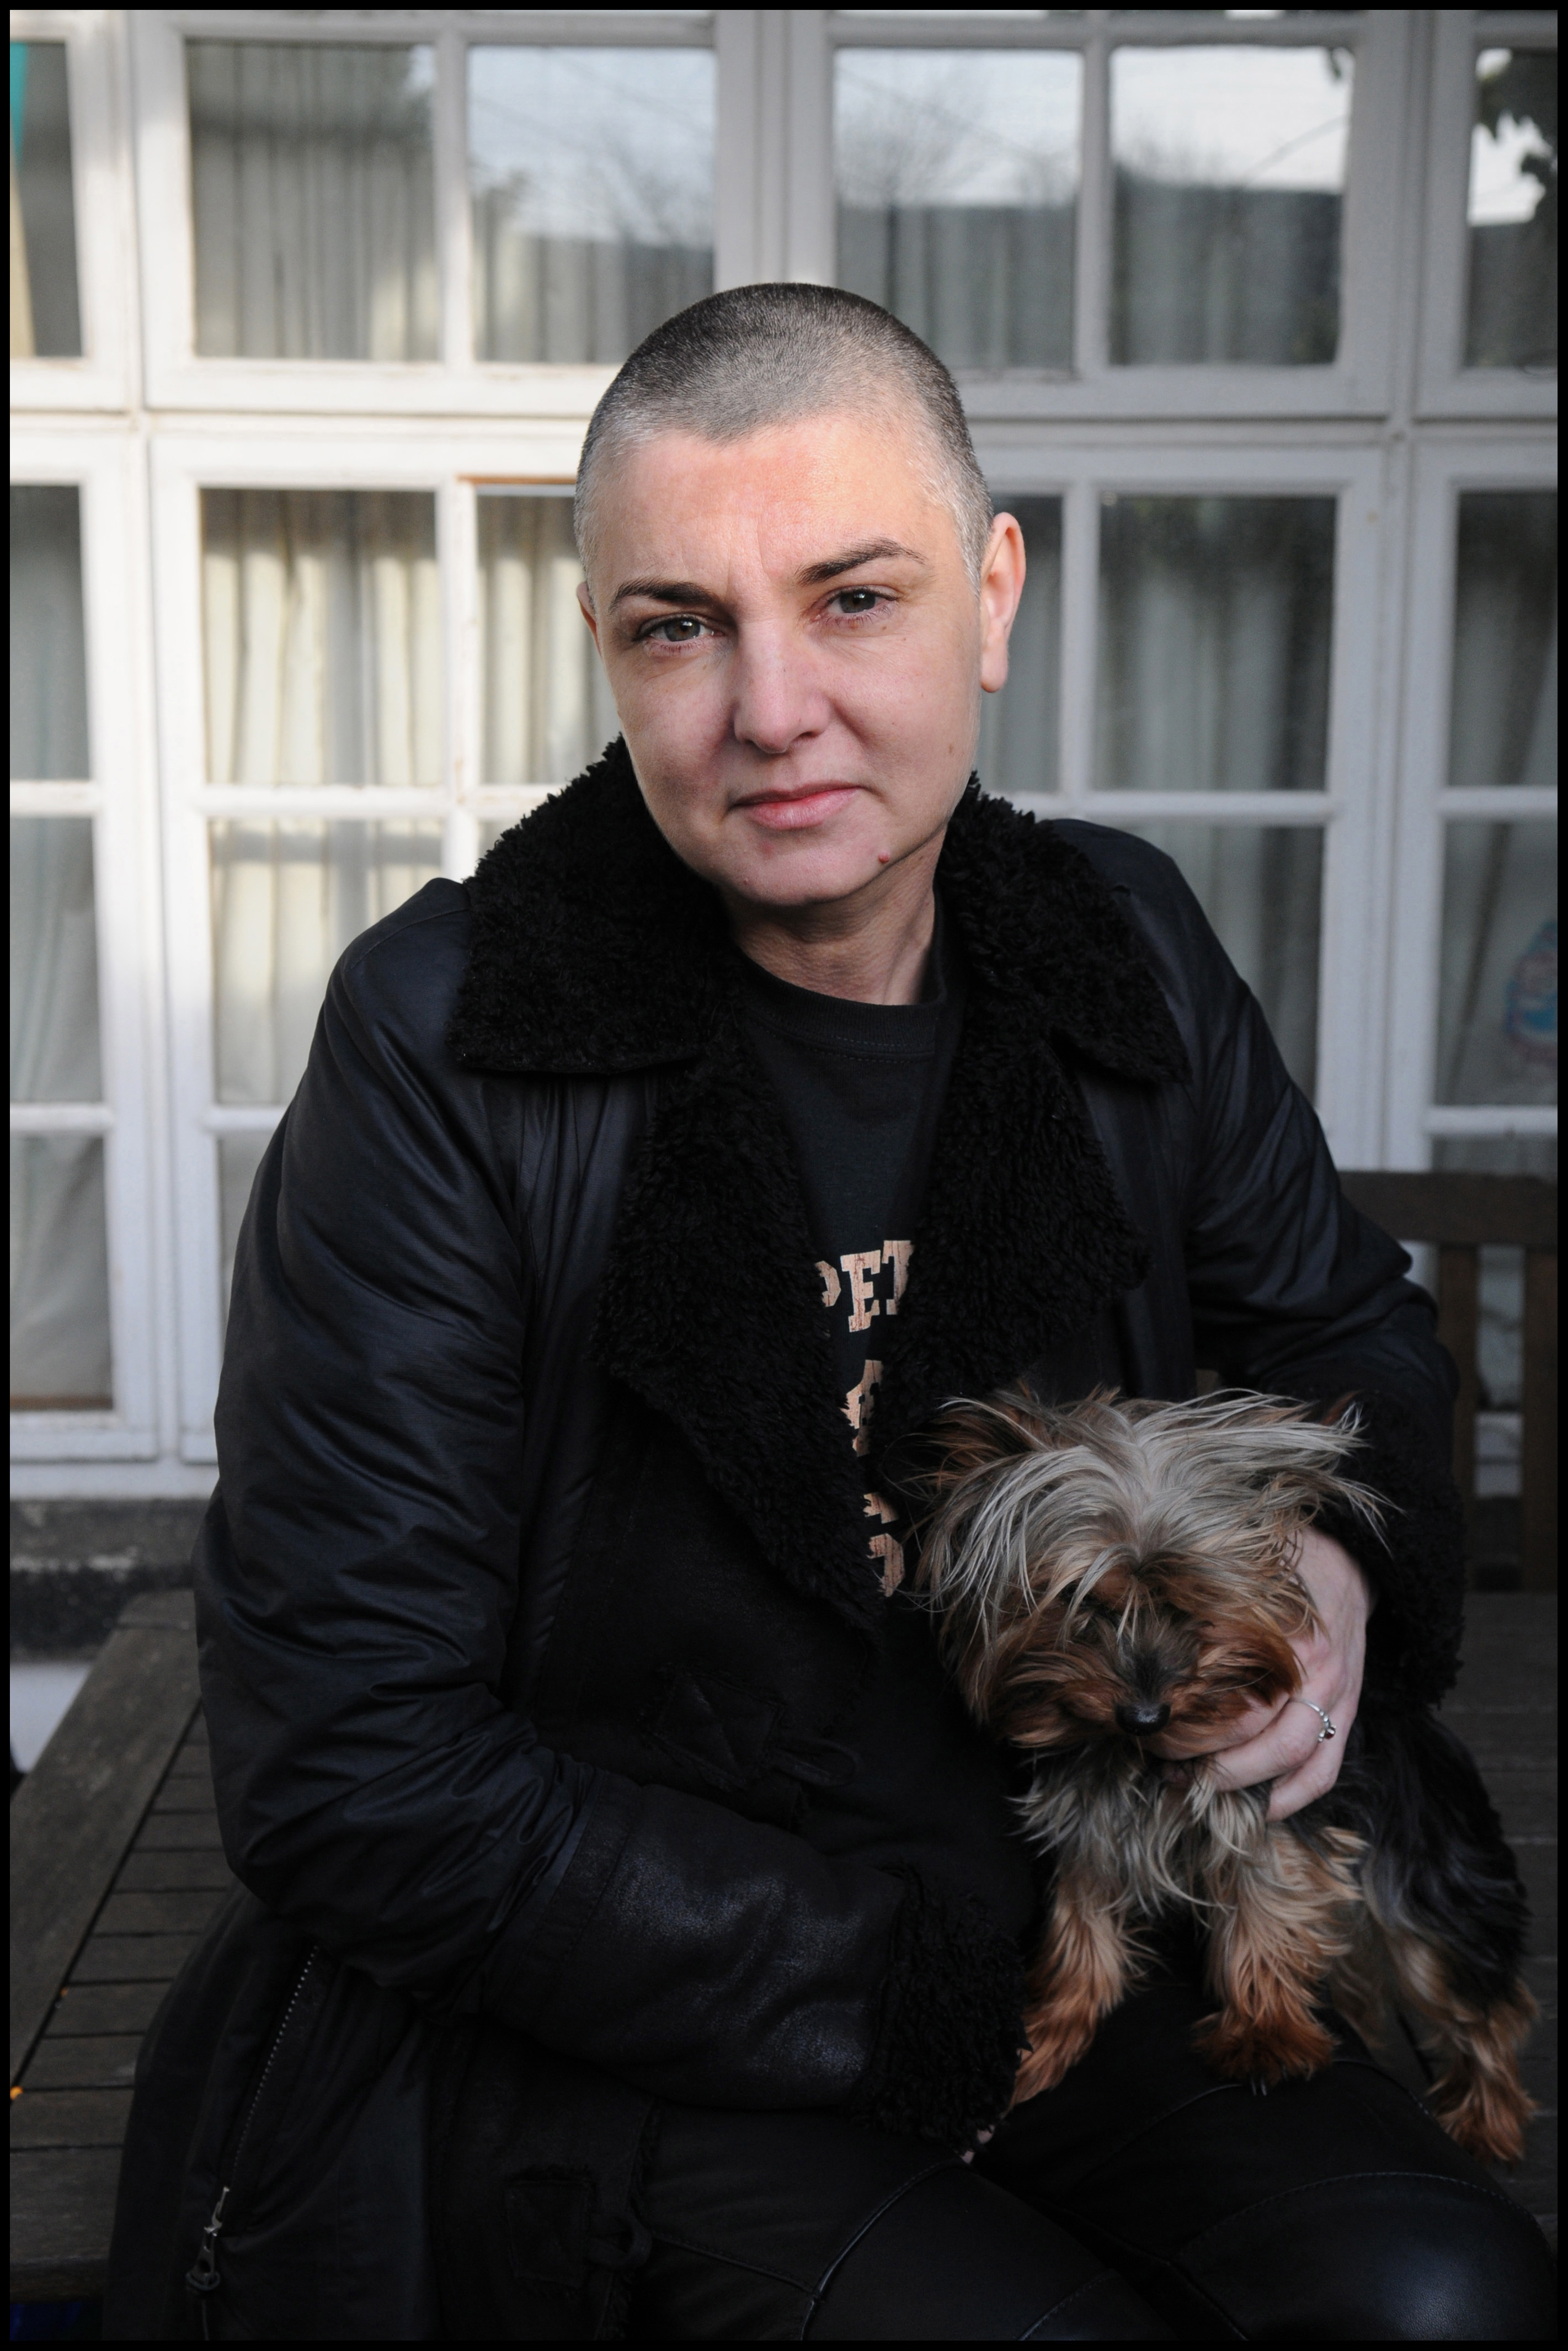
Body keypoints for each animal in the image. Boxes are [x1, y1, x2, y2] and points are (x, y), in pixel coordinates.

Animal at [912, 1391, 1542, 2163]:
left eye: (1191, 1605)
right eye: (1082, 1603)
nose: (1143, 1714)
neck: (1135, 1759)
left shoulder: (1270, 1805)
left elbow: (1266, 1901)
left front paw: (1264, 2032)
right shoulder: (1087, 1818)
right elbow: (1078, 1926)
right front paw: (1045, 2034)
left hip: (1429, 1864)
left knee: (1474, 1997)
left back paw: (1487, 2120)